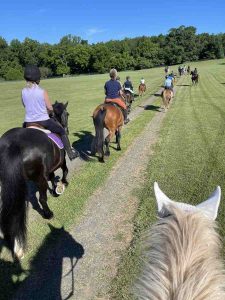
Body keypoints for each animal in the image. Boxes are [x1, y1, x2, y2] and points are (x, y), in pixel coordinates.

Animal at [0, 102, 70, 258]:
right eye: (67, 114)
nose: (66, 129)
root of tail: (12, 145)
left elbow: (52, 177)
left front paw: (55, 189)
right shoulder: (60, 161)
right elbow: (65, 170)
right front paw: (63, 184)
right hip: (39, 178)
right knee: (42, 199)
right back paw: (48, 214)